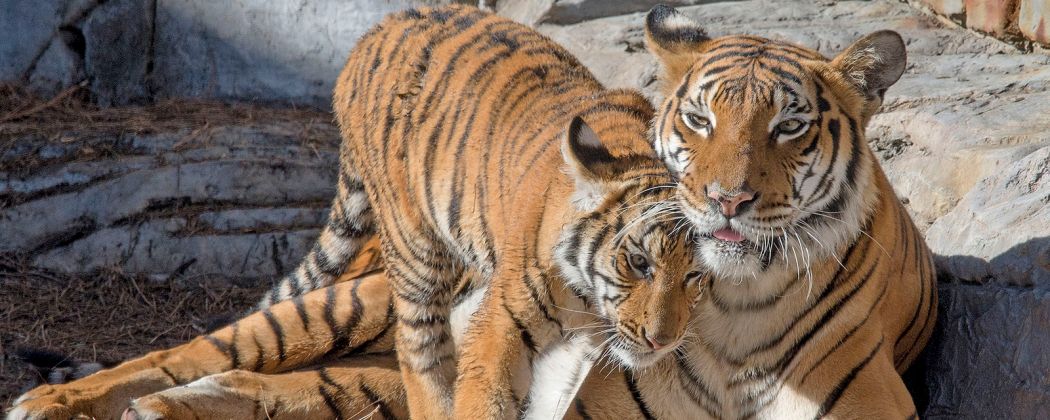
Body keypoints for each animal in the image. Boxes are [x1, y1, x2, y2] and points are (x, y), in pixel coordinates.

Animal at [6, 5, 705, 419]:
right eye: (638, 263)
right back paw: (44, 401)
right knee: (180, 356)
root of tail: (378, 26)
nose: (664, 340)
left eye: (695, 277)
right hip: (391, 274)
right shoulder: (501, 329)